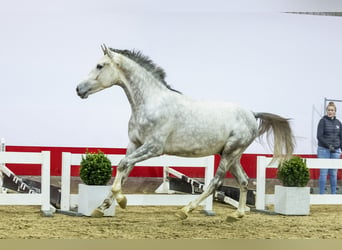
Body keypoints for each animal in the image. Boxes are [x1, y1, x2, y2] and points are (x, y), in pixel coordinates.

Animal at [77, 45, 294, 221]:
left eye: (100, 66)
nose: (79, 89)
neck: (151, 102)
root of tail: (252, 113)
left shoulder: (153, 148)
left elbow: (123, 165)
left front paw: (122, 201)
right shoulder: (134, 144)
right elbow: (123, 171)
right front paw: (101, 207)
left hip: (230, 153)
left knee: (215, 183)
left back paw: (185, 210)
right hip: (232, 155)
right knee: (243, 180)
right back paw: (237, 214)